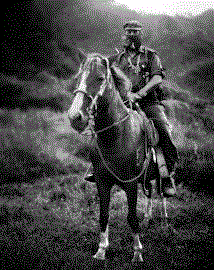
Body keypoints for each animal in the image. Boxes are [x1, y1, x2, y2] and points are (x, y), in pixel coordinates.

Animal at [67, 52, 170, 262]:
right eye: (78, 78)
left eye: (100, 78)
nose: (75, 117)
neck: (116, 135)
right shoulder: (102, 181)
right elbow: (103, 215)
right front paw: (101, 250)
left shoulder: (130, 183)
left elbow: (131, 217)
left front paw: (137, 252)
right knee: (150, 192)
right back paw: (148, 218)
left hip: (161, 173)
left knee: (162, 192)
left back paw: (164, 220)